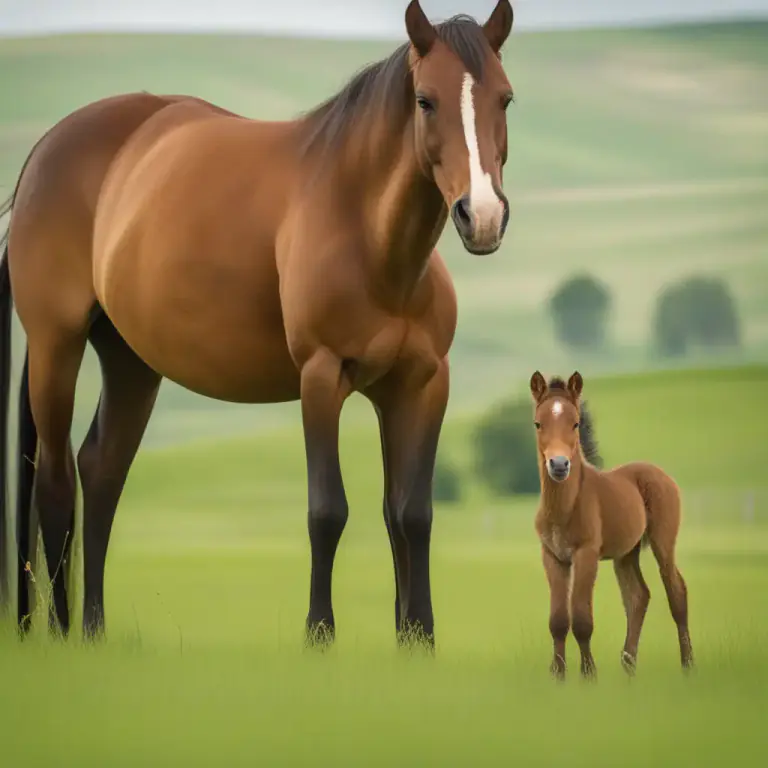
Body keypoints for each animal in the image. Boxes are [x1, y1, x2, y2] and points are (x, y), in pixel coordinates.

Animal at [0, 0, 516, 648]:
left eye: (505, 98)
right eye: (425, 100)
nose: (483, 216)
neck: (368, 236)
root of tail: (44, 149)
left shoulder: (420, 385)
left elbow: (410, 514)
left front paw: (417, 639)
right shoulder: (321, 377)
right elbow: (327, 511)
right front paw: (319, 635)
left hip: (130, 361)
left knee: (100, 472)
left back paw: (94, 629)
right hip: (56, 345)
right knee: (54, 482)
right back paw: (65, 634)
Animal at [529, 371, 694, 678]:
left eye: (575, 423)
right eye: (538, 423)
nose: (559, 465)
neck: (565, 507)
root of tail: (659, 472)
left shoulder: (587, 554)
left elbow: (582, 618)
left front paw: (589, 675)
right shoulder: (553, 556)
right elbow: (558, 620)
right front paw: (558, 674)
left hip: (663, 542)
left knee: (676, 591)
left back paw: (688, 665)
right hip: (626, 554)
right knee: (638, 596)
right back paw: (628, 665)